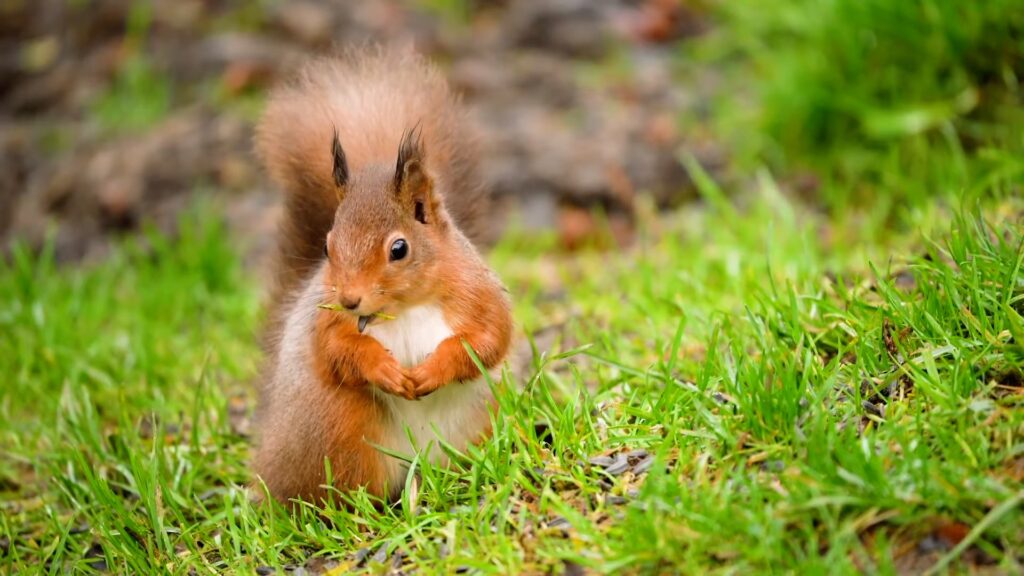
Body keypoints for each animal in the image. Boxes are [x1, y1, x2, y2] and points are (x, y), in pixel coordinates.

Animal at [251, 47, 514, 504]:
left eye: (399, 249)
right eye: (327, 247)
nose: (349, 300)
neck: (405, 306)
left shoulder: (478, 293)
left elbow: (488, 339)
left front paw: (433, 370)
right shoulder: (326, 318)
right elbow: (336, 348)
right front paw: (385, 369)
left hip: (480, 420)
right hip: (342, 429)